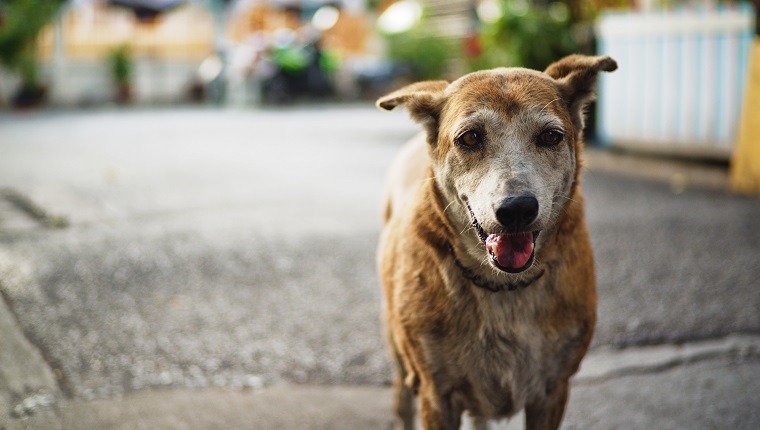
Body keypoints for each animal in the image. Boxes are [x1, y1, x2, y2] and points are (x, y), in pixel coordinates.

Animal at [376, 55, 616, 428]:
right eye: (471, 137)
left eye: (551, 136)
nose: (517, 209)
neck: (503, 286)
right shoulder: (435, 394)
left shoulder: (553, 390)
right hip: (399, 354)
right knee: (402, 400)